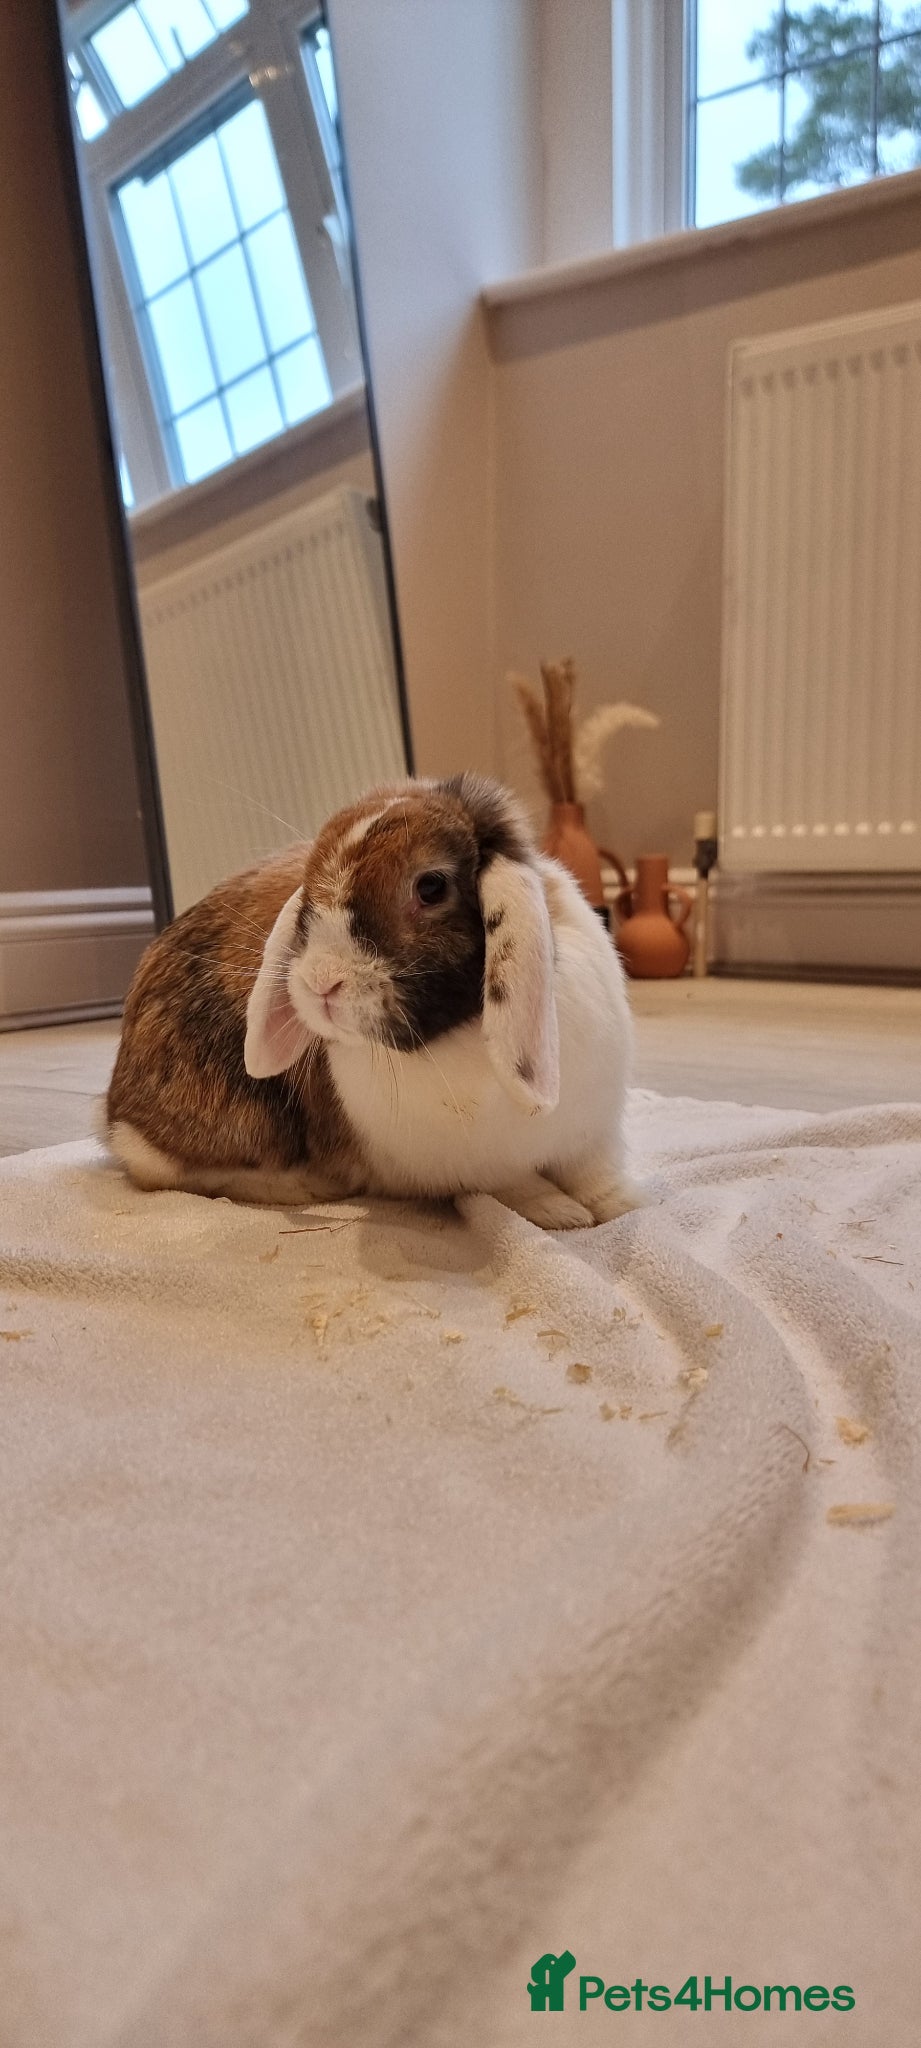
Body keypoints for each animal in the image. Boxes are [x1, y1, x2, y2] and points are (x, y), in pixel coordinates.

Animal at [106, 773, 642, 1230]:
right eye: (308, 895)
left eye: (431, 886)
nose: (321, 981)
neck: (457, 1038)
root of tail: (116, 1112)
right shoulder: (483, 1169)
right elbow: (520, 1186)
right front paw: (563, 1214)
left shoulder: (593, 1137)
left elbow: (598, 1176)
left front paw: (622, 1207)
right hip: (243, 1122)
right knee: (173, 1171)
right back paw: (307, 1185)